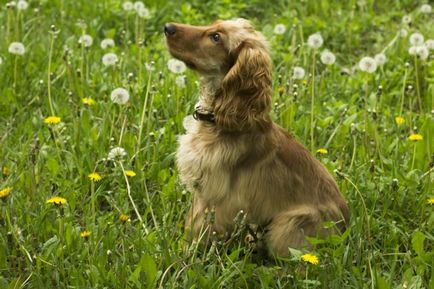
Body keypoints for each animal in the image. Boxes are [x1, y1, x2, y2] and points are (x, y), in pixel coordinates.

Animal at [164, 19, 350, 255]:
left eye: (216, 37)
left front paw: (186, 254)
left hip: (287, 225)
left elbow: (198, 229)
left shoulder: (215, 195)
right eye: (213, 25)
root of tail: (346, 227)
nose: (168, 27)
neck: (218, 121)